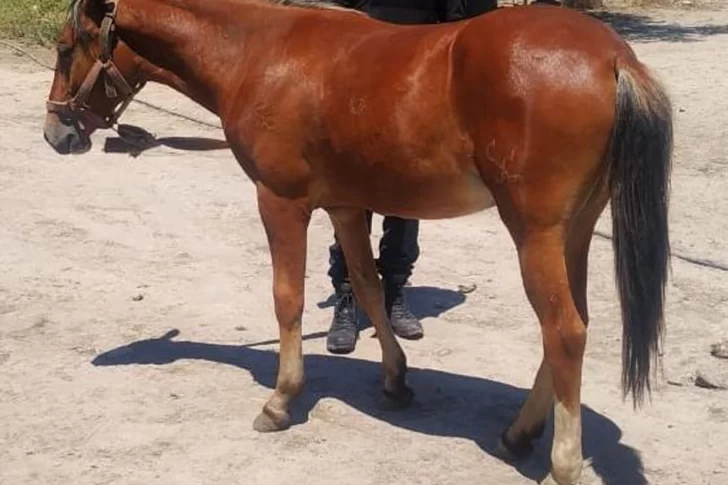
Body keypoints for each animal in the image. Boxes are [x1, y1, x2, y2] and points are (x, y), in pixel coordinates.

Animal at [42, 1, 673, 483]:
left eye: (67, 47)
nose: (55, 133)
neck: (259, 52)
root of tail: (614, 57)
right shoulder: (345, 206)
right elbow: (367, 286)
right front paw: (395, 379)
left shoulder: (281, 203)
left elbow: (288, 299)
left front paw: (280, 400)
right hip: (574, 231)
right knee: (571, 325)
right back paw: (520, 432)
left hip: (535, 232)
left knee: (563, 331)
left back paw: (561, 461)